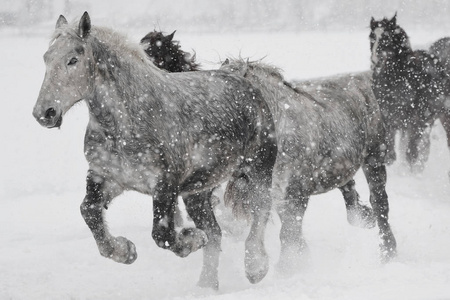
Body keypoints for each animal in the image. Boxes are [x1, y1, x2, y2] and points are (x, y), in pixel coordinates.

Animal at [31, 12, 276, 290]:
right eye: (46, 58)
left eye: (73, 59)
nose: (44, 113)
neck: (126, 123)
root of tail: (244, 82)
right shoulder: (107, 177)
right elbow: (89, 211)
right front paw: (125, 251)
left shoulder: (165, 184)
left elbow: (162, 234)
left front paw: (191, 239)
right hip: (197, 191)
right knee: (215, 232)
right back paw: (206, 286)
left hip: (257, 169)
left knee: (261, 210)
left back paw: (256, 267)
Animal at [221, 59, 398, 272]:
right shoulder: (278, 194)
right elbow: (291, 231)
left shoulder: (296, 194)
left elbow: (289, 233)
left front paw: (287, 269)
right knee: (348, 187)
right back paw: (364, 218)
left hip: (374, 158)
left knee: (380, 203)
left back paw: (388, 252)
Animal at [370, 14, 446, 172]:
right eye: (372, 37)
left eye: (387, 37)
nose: (375, 62)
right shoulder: (388, 118)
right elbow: (390, 152)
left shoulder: (415, 121)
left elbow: (411, 152)